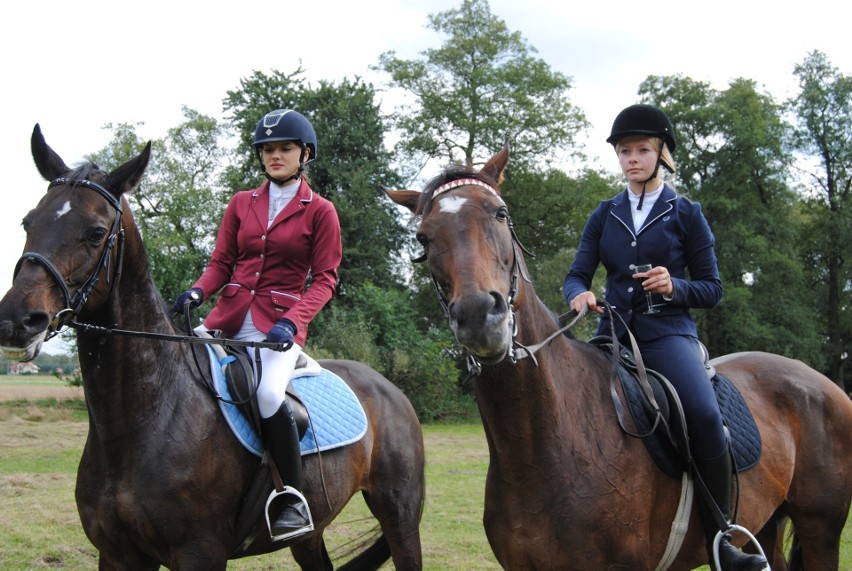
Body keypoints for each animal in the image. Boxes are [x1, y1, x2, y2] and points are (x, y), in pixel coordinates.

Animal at [0, 126, 426, 571]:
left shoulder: (199, 552)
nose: (16, 321)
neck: (143, 417)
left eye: (97, 233)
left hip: (399, 516)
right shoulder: (118, 555)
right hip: (311, 534)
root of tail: (387, 387)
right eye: (28, 221)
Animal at [390, 144, 852, 571]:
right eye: (423, 238)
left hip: (820, 528)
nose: (479, 317)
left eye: (501, 213)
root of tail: (822, 383)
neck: (545, 444)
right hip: (770, 522)